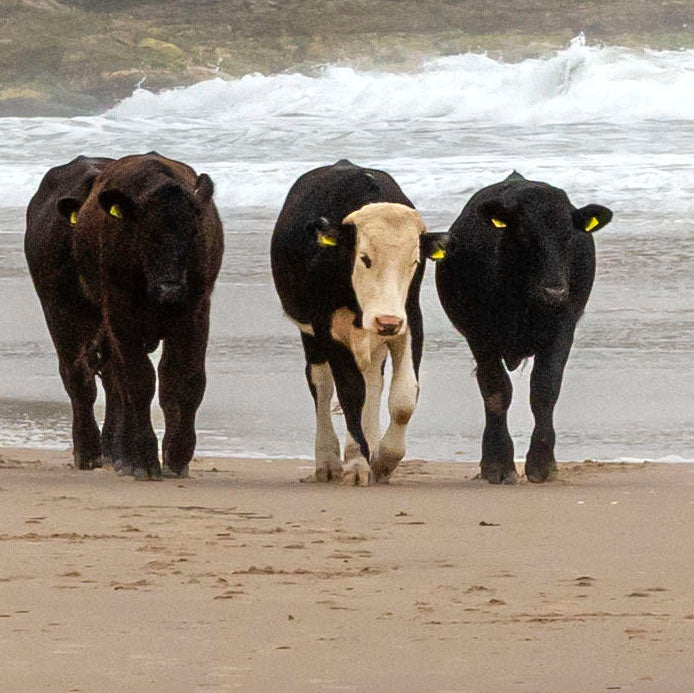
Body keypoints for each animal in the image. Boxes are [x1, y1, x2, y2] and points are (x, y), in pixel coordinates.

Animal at [25, 153, 224, 479]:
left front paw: (177, 456)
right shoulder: (120, 315)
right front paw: (143, 459)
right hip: (59, 313)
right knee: (80, 379)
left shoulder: (195, 311)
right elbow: (139, 381)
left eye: (194, 231)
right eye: (146, 233)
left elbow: (185, 380)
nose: (170, 288)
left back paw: (116, 453)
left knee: (112, 384)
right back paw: (90, 452)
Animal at [271, 159, 447, 486]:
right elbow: (349, 392)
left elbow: (403, 397)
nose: (386, 320)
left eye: (414, 262)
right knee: (322, 385)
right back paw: (329, 461)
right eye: (364, 257)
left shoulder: (410, 320)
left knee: (373, 382)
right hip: (312, 336)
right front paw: (356, 464)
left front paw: (384, 459)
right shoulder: (327, 328)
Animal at [435, 171, 613, 484]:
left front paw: (542, 463)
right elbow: (496, 391)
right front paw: (498, 464)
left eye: (568, 236)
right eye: (525, 235)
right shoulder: (481, 336)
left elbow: (544, 389)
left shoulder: (562, 329)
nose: (555, 291)